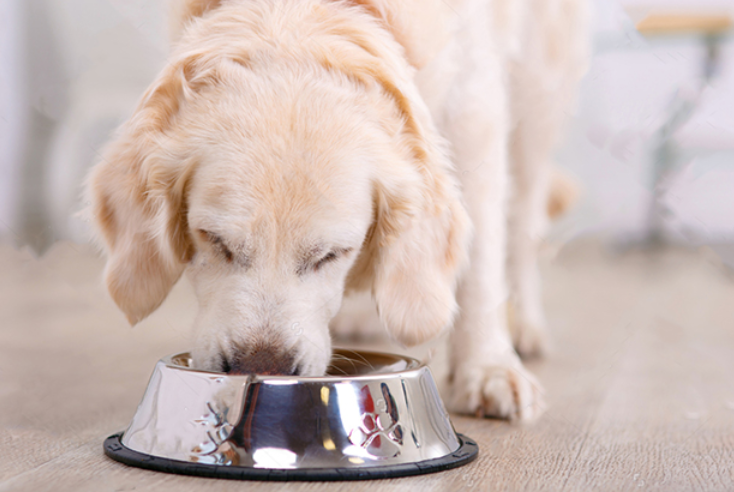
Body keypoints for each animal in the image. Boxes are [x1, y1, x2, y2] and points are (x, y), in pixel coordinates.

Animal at [89, 0, 588, 420]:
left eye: (332, 255)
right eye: (214, 241)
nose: (261, 367)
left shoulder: (474, 108)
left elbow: (482, 258)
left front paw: (487, 368)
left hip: (540, 92)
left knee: (523, 222)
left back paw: (524, 325)